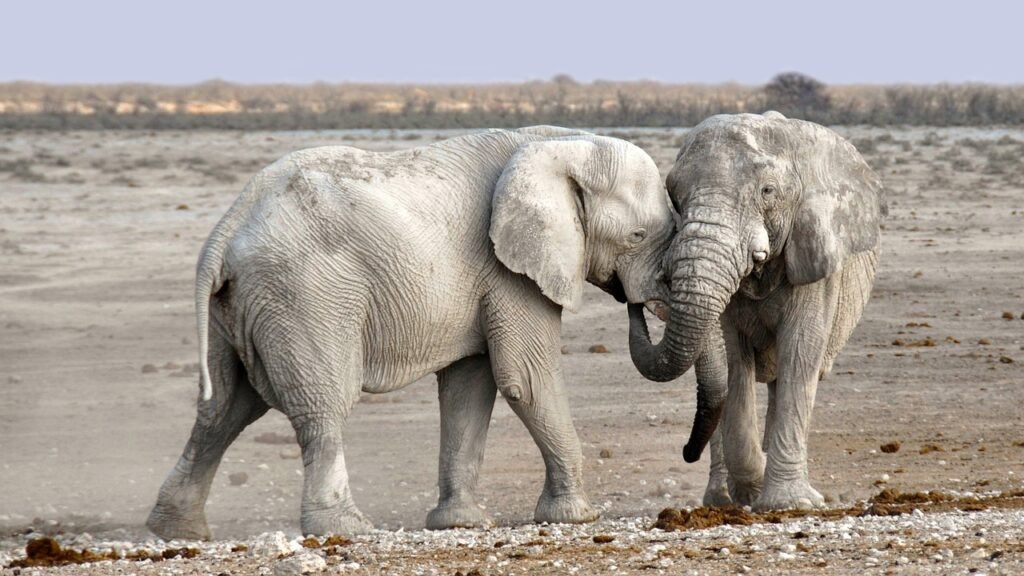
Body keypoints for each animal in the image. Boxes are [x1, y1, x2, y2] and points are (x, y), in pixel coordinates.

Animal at [142, 125, 671, 537]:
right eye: (637, 236)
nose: (636, 304)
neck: (562, 143)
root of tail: (226, 228)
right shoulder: (509, 270)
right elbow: (525, 378)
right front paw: (577, 517)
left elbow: (469, 387)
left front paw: (459, 524)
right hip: (304, 295)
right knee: (321, 405)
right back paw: (348, 528)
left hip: (239, 306)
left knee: (224, 409)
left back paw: (176, 531)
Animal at [626, 114, 884, 508]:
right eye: (674, 196)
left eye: (768, 192)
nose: (635, 302)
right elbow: (733, 360)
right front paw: (754, 488)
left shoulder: (814, 256)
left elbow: (801, 352)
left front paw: (789, 503)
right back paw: (722, 499)